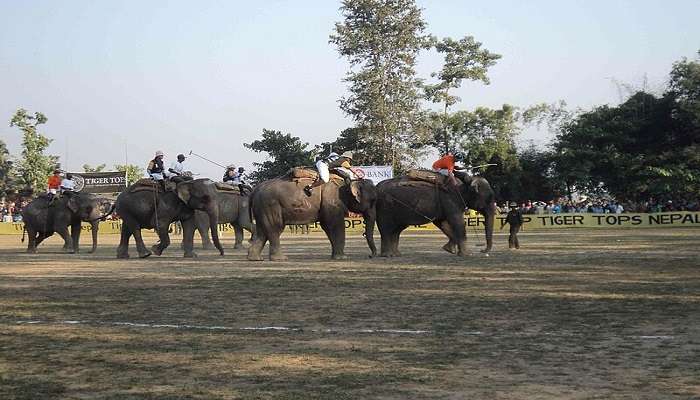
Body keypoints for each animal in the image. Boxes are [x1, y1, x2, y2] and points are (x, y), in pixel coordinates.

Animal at [246, 171, 378, 260]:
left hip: (261, 208)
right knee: (275, 228)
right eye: (372, 201)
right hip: (270, 205)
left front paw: (336, 256)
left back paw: (255, 259)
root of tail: (254, 191)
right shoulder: (332, 202)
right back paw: (280, 258)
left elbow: (328, 227)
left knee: (262, 230)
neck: (346, 183)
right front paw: (342, 258)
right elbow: (334, 225)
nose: (370, 256)